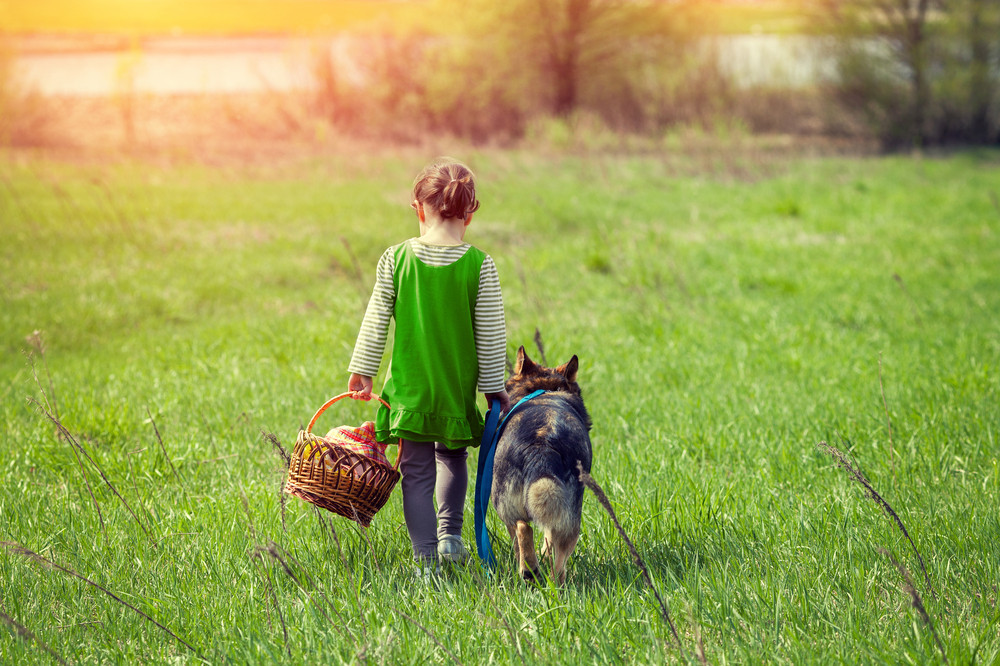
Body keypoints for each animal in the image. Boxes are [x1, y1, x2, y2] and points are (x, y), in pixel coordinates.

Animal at [492, 344, 592, 584]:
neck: (545, 389)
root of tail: (541, 446)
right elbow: (548, 539)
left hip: (504, 504)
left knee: (522, 528)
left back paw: (529, 570)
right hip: (570, 518)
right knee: (559, 564)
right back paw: (554, 584)